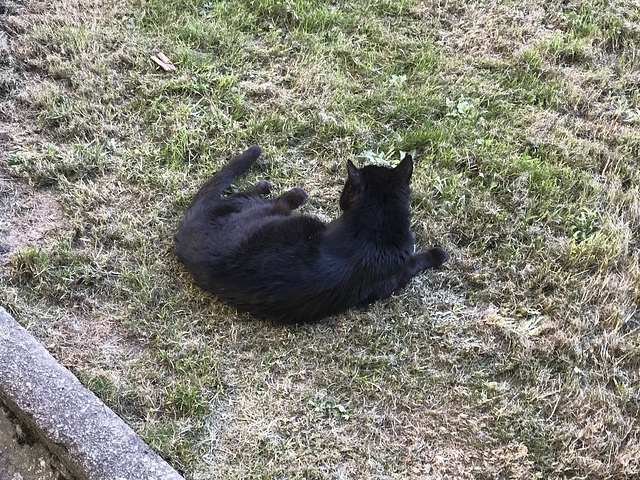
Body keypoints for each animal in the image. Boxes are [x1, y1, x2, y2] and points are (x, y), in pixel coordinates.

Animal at [172, 146, 448, 324]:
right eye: (346, 188)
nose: (340, 200)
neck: (375, 227)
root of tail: (186, 231)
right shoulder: (395, 276)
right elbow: (417, 261)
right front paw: (438, 254)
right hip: (272, 213)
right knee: (263, 199)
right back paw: (284, 190)